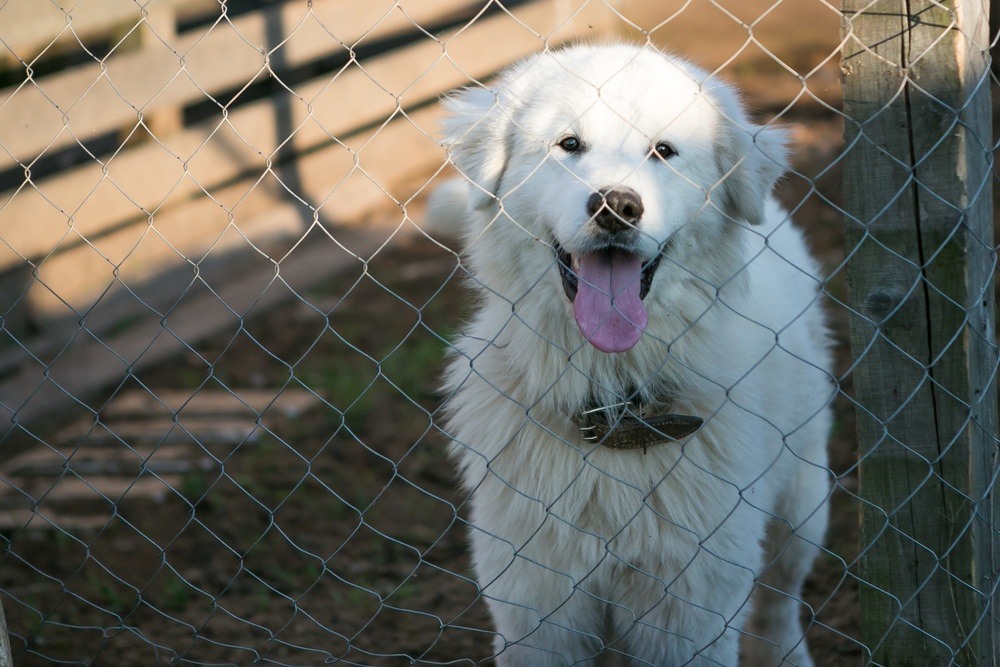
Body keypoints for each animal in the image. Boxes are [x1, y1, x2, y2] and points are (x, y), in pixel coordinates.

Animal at [434, 44, 832, 664]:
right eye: (569, 143)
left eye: (663, 151)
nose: (616, 206)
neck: (613, 398)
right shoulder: (539, 612)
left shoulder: (689, 613)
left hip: (801, 503)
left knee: (780, 602)